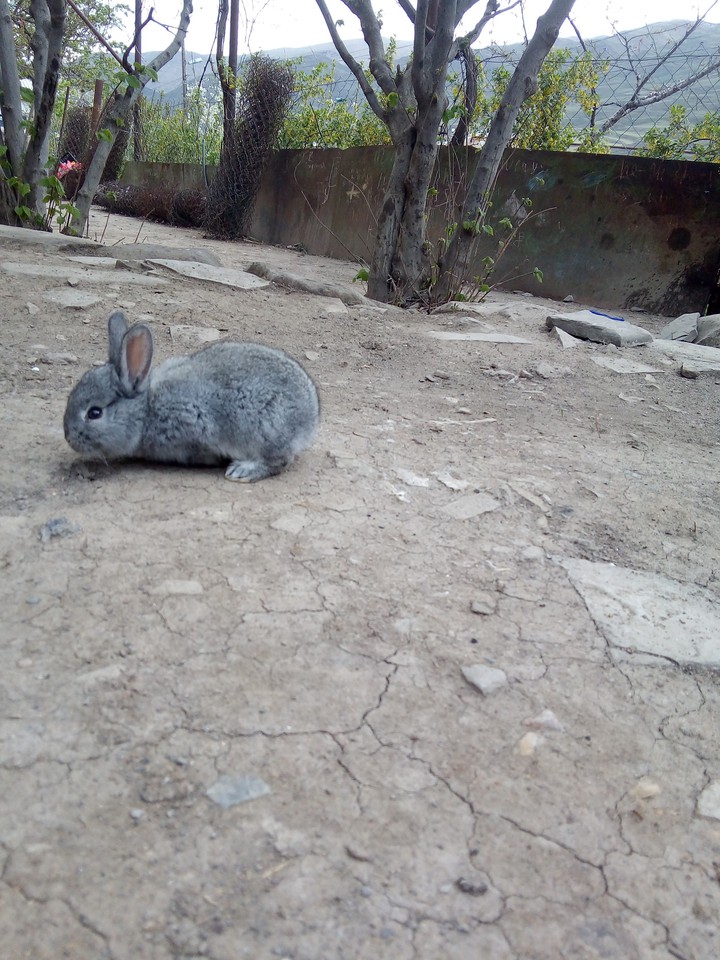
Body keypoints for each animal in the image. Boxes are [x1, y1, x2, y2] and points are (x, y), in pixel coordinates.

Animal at [64, 311, 320, 482]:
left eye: (94, 413)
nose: (69, 437)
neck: (146, 411)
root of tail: (311, 418)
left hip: (264, 428)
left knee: (280, 460)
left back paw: (242, 471)